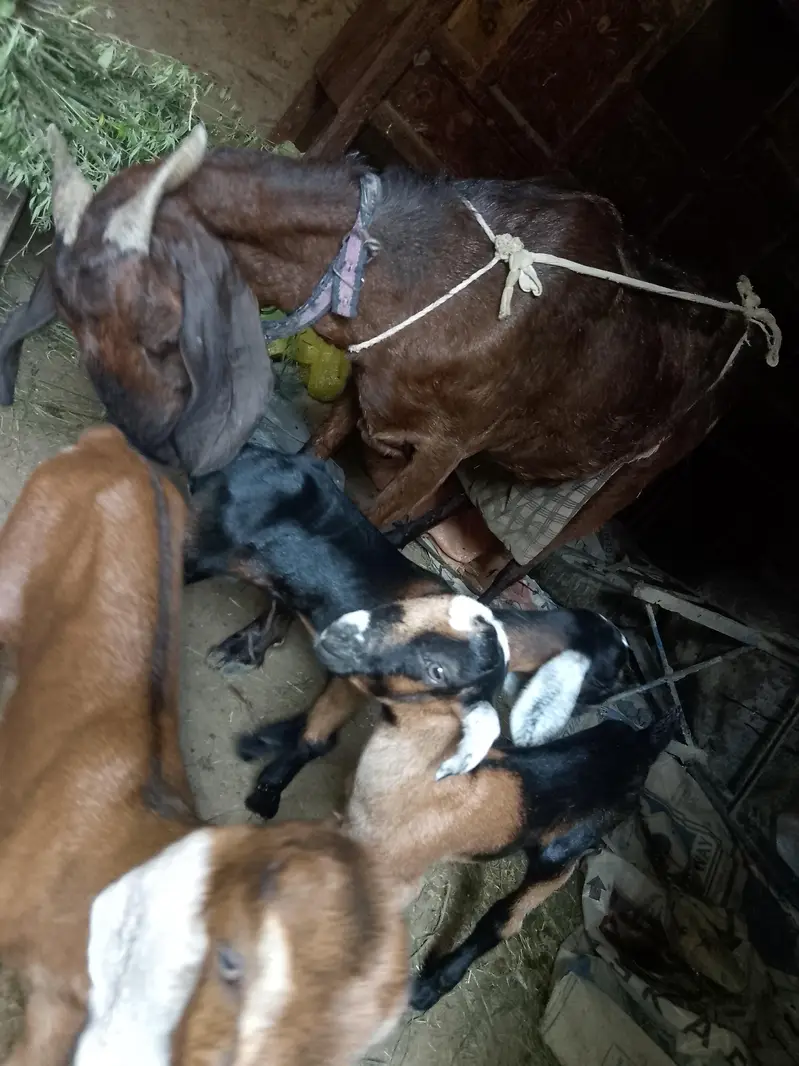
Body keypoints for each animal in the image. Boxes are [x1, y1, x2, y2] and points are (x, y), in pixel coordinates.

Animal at [1, 124, 746, 530]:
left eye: (160, 330)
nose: (147, 442)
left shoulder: (451, 446)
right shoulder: (362, 395)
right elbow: (312, 459)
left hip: (619, 487)